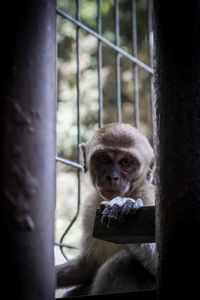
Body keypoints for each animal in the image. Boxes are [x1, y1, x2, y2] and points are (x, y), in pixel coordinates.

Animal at [55, 122, 156, 296]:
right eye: (104, 159)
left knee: (124, 263)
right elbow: (86, 267)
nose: (112, 177)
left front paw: (122, 205)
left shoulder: (149, 197)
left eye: (126, 162)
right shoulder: (90, 206)